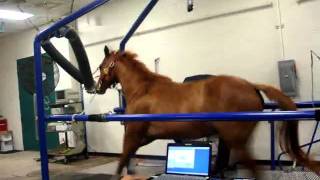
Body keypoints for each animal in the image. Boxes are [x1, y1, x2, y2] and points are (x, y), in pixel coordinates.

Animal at [95, 46, 320, 177]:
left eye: (101, 65)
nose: (96, 88)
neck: (144, 89)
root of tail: (250, 85)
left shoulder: (133, 134)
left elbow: (121, 160)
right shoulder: (145, 137)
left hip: (235, 139)